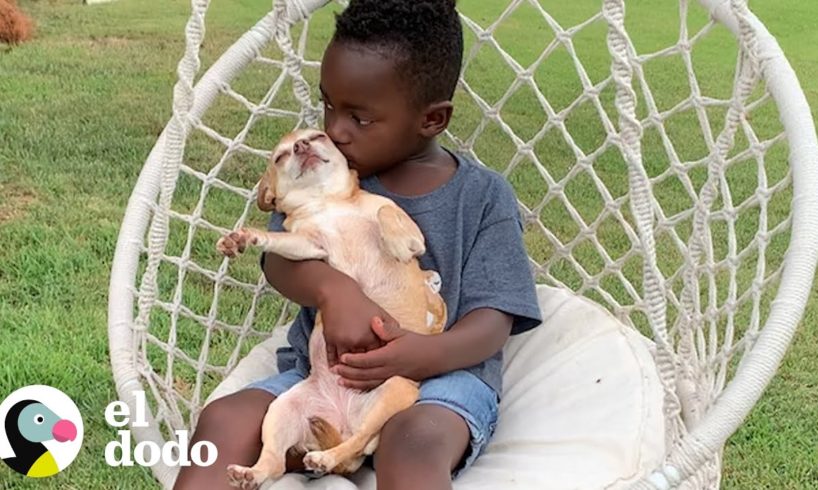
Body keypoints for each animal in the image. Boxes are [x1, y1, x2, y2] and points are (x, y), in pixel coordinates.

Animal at [217, 128, 444, 488]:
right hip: (282, 410)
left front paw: (396, 244)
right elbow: (278, 239)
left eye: (318, 136)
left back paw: (325, 457)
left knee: (358, 440)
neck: (326, 203)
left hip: (390, 391)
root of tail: (342, 422)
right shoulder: (307, 244)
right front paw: (248, 237)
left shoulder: (400, 219)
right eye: (280, 156)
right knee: (276, 463)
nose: (301, 145)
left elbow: (385, 213)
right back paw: (252, 473)